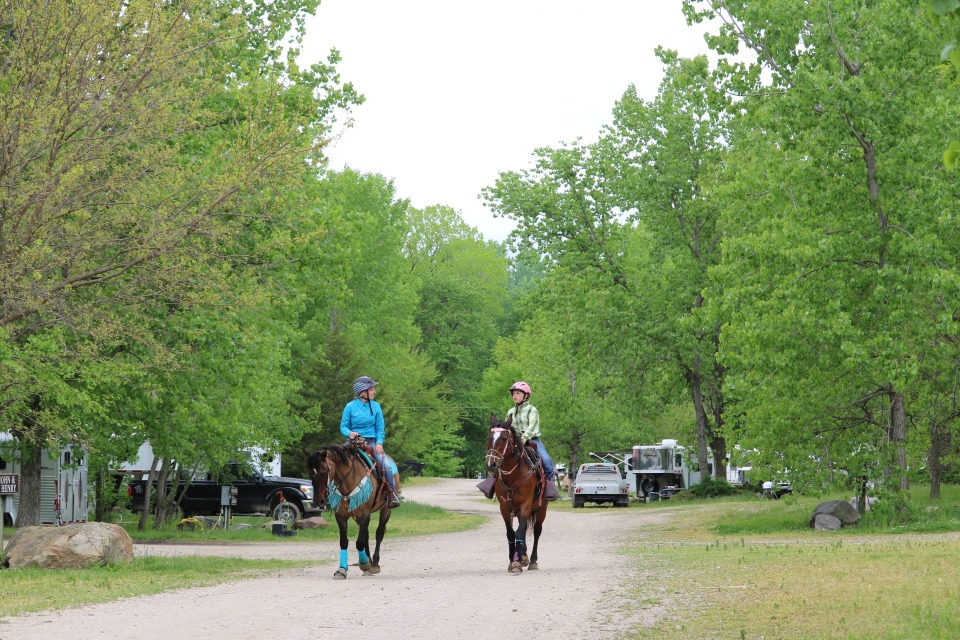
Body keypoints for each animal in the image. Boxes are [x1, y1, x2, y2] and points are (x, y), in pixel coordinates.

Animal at [306, 444, 392, 580]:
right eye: (309, 472)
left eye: (324, 471)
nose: (318, 500)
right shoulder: (341, 516)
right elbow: (344, 542)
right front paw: (342, 569)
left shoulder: (364, 515)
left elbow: (360, 542)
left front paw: (364, 564)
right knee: (366, 535)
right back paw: (368, 562)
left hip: (386, 509)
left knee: (379, 533)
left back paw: (374, 564)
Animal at [484, 416, 552, 576]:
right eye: (489, 437)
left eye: (504, 438)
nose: (491, 464)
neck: (513, 473)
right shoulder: (504, 507)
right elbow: (511, 533)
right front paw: (513, 560)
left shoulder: (526, 505)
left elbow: (520, 532)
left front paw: (516, 563)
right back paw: (524, 556)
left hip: (541, 508)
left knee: (537, 531)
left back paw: (532, 561)